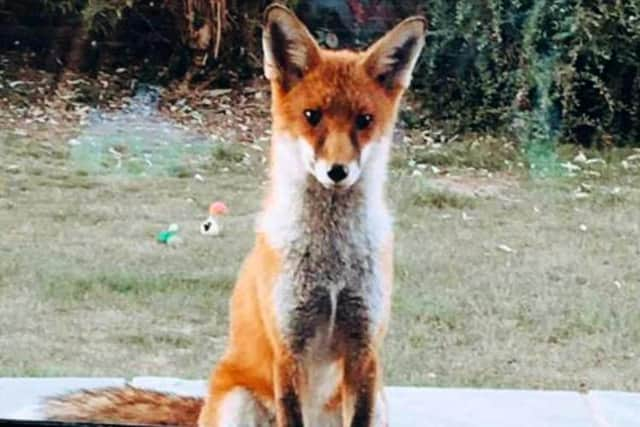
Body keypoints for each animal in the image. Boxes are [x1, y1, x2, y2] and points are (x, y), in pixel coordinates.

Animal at [43, 4, 424, 427]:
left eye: (364, 120)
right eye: (312, 116)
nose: (337, 171)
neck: (331, 265)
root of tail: (203, 406)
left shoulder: (363, 348)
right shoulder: (287, 347)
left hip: (379, 400)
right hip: (237, 402)